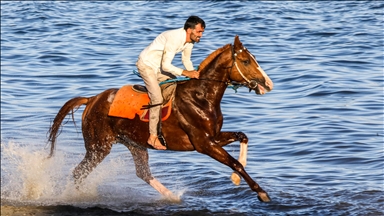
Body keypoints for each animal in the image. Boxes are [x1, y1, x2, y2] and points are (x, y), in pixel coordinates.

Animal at [47, 35, 272, 202]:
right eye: (246, 61)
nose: (268, 84)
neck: (200, 97)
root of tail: (92, 99)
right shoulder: (204, 143)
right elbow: (235, 163)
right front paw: (261, 192)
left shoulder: (214, 137)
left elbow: (242, 137)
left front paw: (235, 179)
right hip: (99, 147)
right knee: (78, 172)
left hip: (134, 144)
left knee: (143, 173)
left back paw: (173, 197)